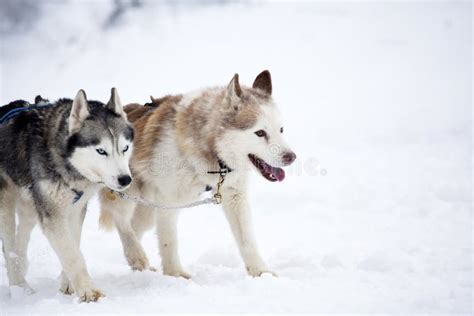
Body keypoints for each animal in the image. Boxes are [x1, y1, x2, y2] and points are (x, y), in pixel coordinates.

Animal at [0, 88, 133, 302]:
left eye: (125, 148)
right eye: (101, 151)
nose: (125, 180)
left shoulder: (75, 209)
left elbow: (73, 244)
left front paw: (68, 284)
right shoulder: (53, 215)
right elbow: (72, 255)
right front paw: (88, 291)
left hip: (30, 206)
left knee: (19, 239)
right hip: (7, 204)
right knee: (9, 245)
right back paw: (20, 288)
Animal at [98, 71, 294, 276]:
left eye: (281, 130)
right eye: (260, 133)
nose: (291, 157)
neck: (213, 156)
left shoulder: (235, 196)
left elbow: (247, 239)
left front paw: (261, 272)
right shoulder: (168, 200)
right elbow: (169, 240)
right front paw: (174, 273)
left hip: (148, 209)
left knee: (135, 227)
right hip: (128, 192)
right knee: (122, 222)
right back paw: (136, 255)